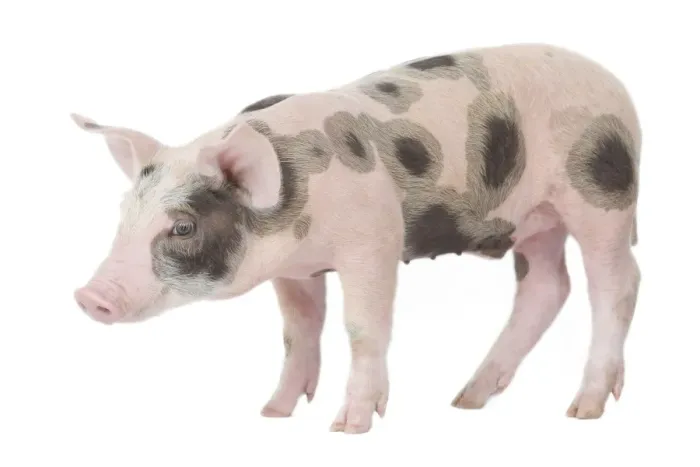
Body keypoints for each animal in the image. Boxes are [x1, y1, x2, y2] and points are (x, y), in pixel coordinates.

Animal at [71, 43, 641, 434]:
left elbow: (363, 328)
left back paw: (583, 409)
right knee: (548, 287)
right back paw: (466, 400)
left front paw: (348, 426)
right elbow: (297, 333)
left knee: (617, 285)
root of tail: (613, 83)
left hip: (603, 198)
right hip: (535, 222)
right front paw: (273, 412)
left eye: (184, 226)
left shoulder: (375, 241)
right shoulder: (293, 270)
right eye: (124, 213)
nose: (88, 296)